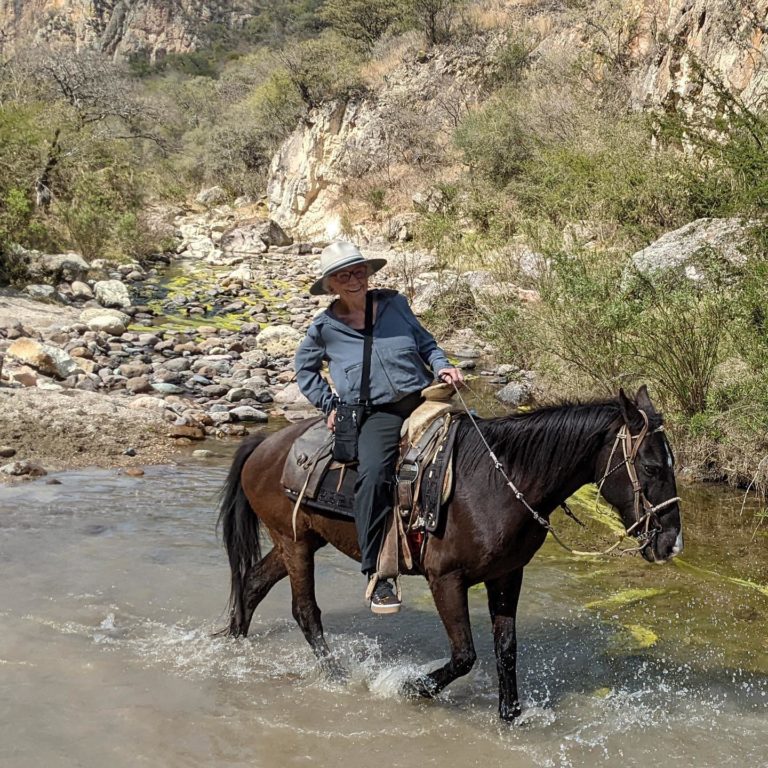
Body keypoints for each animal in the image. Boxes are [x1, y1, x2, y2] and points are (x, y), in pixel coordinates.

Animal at [219, 390, 680, 720]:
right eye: (652, 467)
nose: (671, 543)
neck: (498, 483)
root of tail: (265, 444)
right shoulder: (446, 579)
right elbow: (464, 655)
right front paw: (409, 688)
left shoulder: (507, 575)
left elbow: (506, 648)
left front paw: (510, 714)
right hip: (294, 541)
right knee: (305, 611)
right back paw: (340, 678)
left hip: (302, 541)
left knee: (253, 583)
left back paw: (233, 645)